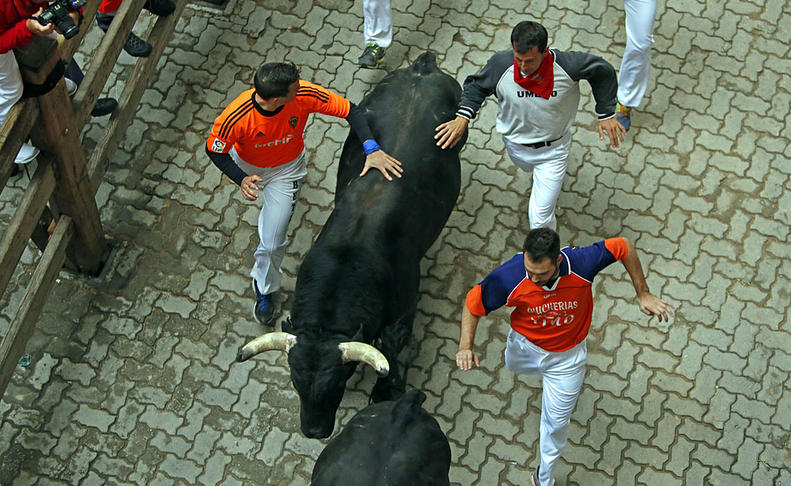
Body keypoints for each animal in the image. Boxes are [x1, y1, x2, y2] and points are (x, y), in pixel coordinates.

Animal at [238, 51, 468, 438]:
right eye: (296, 382)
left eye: (336, 382)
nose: (314, 431)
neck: (349, 258)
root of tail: (422, 67)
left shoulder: (403, 309)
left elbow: (394, 348)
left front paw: (387, 391)